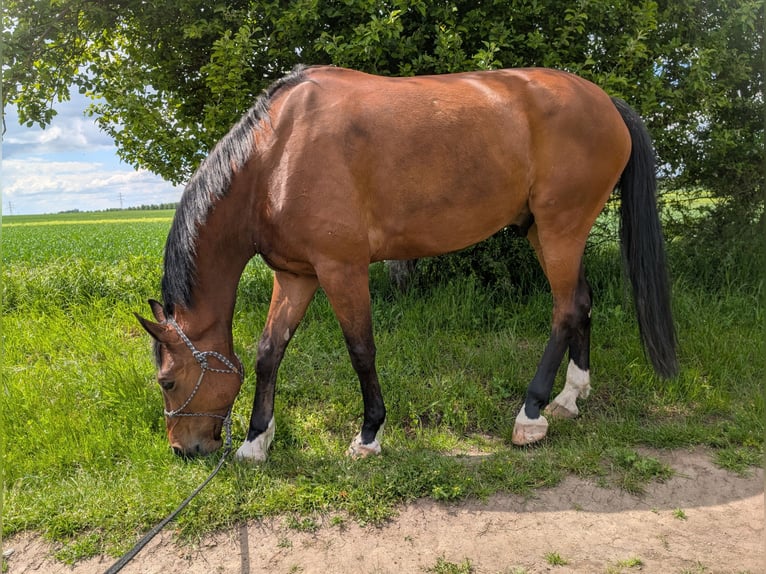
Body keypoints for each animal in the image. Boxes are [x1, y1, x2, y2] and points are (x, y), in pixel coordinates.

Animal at [136, 65, 678, 460]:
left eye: (167, 380)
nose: (185, 450)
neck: (276, 155)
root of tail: (606, 103)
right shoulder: (296, 274)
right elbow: (270, 350)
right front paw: (255, 442)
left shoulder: (341, 269)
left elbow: (361, 350)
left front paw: (369, 435)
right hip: (544, 232)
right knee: (581, 301)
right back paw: (570, 397)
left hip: (561, 227)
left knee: (565, 311)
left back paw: (530, 415)